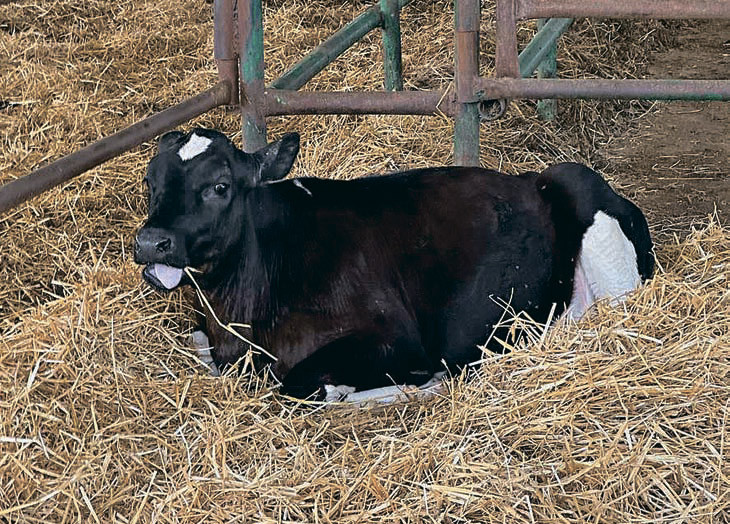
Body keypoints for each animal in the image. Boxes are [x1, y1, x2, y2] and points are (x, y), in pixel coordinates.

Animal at [134, 128, 654, 399]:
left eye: (220, 186)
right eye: (149, 180)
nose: (151, 242)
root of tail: (537, 177)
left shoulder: (395, 339)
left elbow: (297, 384)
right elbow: (199, 348)